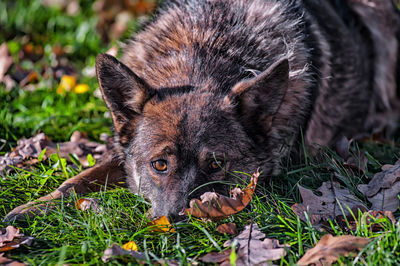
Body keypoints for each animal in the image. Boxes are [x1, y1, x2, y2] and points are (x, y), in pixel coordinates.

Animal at [3, 0, 400, 221]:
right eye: (159, 165)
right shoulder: (122, 153)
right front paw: (33, 207)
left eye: (217, 164)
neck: (205, 51)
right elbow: (77, 180)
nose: (176, 219)